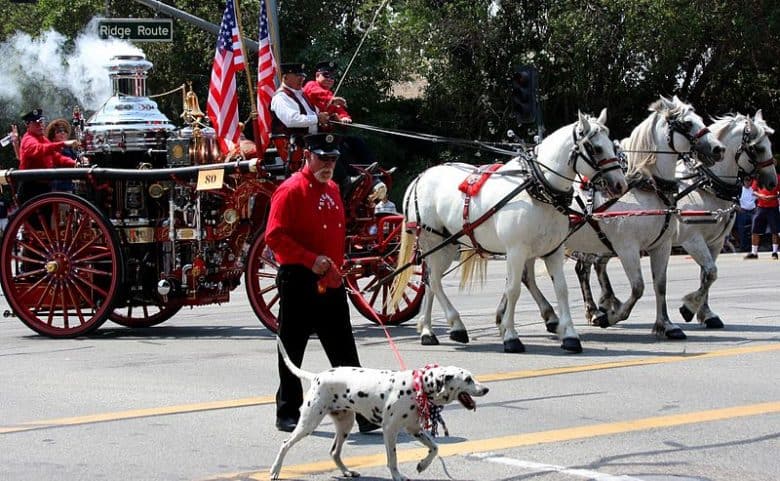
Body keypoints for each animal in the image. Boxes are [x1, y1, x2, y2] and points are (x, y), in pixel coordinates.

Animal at [268, 338, 488, 480]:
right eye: (468, 379)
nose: (486, 389)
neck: (418, 386)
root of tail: (316, 376)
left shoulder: (415, 429)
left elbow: (435, 448)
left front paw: (422, 465)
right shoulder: (390, 430)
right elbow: (393, 459)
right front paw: (397, 476)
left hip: (345, 425)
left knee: (334, 453)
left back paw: (347, 472)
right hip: (308, 423)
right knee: (285, 444)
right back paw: (275, 470)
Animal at [390, 110, 628, 354]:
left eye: (612, 145)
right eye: (595, 148)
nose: (621, 184)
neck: (538, 190)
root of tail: (421, 177)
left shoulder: (553, 250)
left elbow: (561, 289)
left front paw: (570, 335)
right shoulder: (516, 251)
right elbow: (513, 289)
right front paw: (511, 337)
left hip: (446, 245)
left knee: (430, 281)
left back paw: (429, 330)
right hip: (432, 241)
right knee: (434, 281)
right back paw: (450, 325)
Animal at [524, 96, 724, 338]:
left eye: (700, 119)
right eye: (687, 123)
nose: (718, 149)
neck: (648, 188)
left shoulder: (662, 245)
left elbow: (660, 284)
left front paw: (666, 324)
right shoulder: (627, 247)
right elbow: (638, 287)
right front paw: (612, 315)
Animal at [584, 112, 772, 330]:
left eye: (769, 145)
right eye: (757, 148)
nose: (772, 182)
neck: (706, 188)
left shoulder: (716, 242)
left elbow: (707, 275)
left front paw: (706, 313)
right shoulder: (692, 240)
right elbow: (710, 272)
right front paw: (689, 308)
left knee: (598, 264)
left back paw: (605, 303)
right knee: (583, 268)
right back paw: (594, 311)